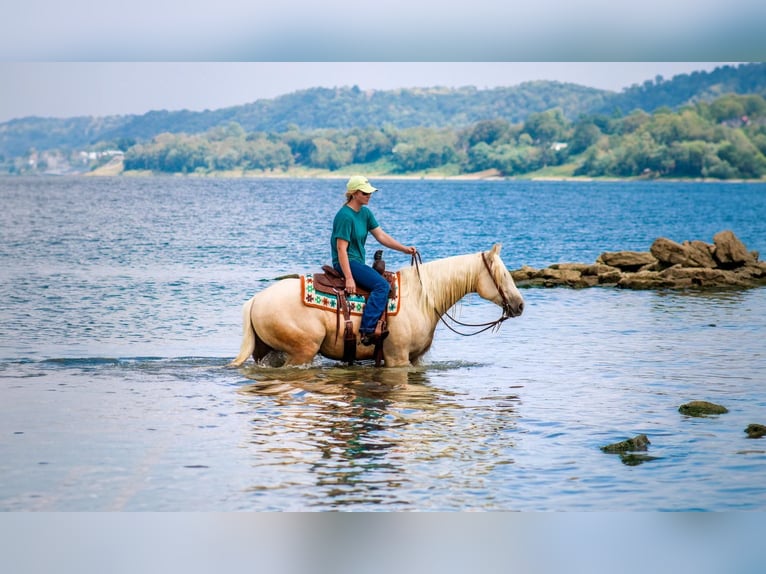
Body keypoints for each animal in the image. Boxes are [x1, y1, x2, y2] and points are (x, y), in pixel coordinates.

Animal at [231, 243, 524, 368]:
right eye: (502, 273)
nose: (520, 305)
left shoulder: (414, 358)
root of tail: (256, 300)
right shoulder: (397, 357)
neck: (421, 297)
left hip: (269, 351)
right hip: (301, 352)